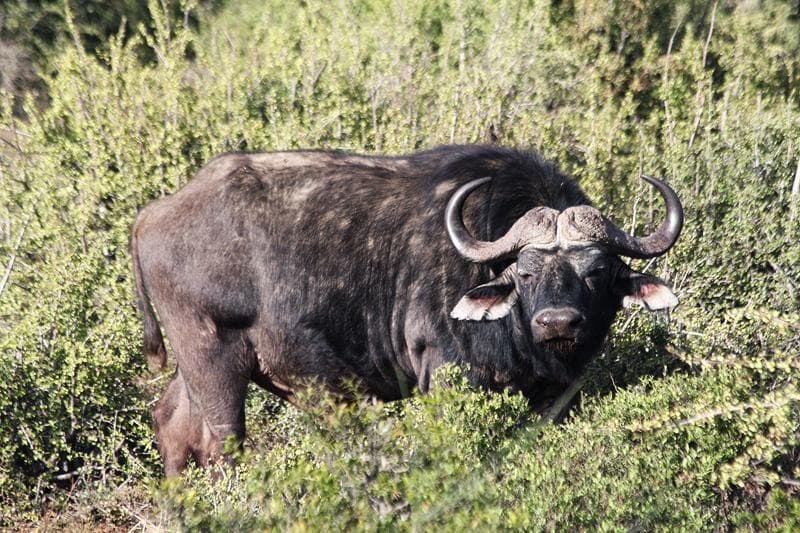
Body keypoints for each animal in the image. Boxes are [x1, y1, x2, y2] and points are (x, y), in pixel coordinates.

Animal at [131, 145, 683, 475]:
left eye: (596, 271)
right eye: (525, 272)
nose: (558, 323)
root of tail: (151, 215)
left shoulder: (552, 394)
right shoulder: (447, 377)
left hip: (197, 366)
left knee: (171, 424)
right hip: (214, 359)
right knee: (220, 444)